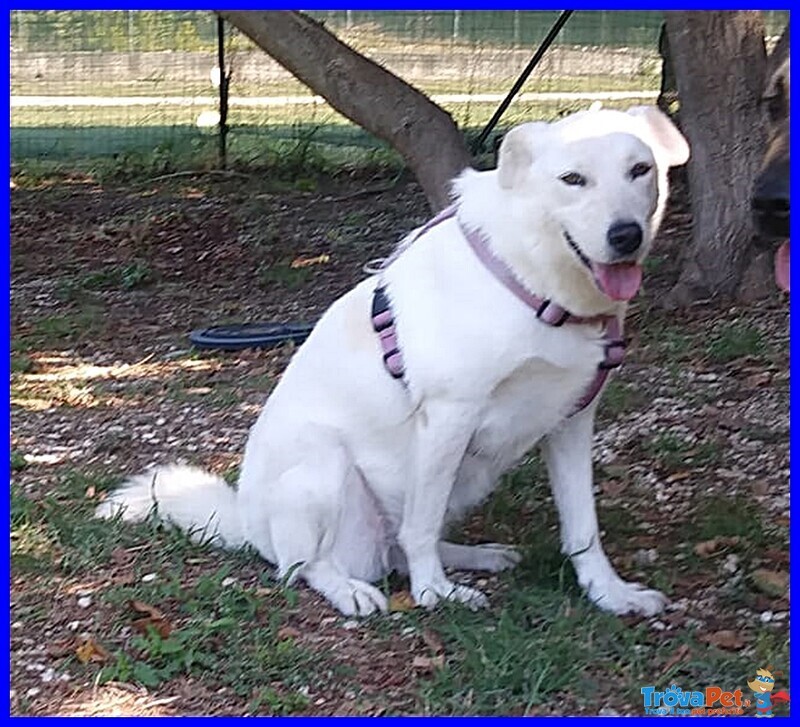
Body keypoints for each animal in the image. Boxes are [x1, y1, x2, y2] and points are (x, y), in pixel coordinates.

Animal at [98, 106, 688, 620]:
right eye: (572, 179)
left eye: (640, 170)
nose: (626, 236)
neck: (536, 284)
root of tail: (246, 520)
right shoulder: (448, 417)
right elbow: (420, 527)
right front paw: (434, 595)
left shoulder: (571, 422)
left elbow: (583, 529)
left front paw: (609, 594)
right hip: (325, 464)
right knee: (308, 565)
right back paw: (352, 590)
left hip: (465, 476)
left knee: (397, 548)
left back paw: (477, 556)